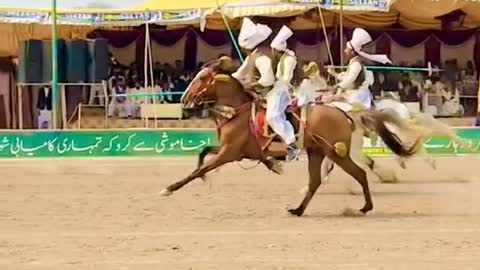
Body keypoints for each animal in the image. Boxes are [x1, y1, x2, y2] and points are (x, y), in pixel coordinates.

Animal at [159, 60, 422, 216]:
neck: (237, 112)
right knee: (316, 181)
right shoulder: (231, 150)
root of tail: (343, 113)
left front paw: (169, 188)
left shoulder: (229, 153)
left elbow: (198, 170)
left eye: (202, 79)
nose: (184, 98)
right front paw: (272, 165)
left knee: (359, 173)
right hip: (317, 153)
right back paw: (297, 209)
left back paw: (366, 206)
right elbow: (202, 153)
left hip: (335, 152)